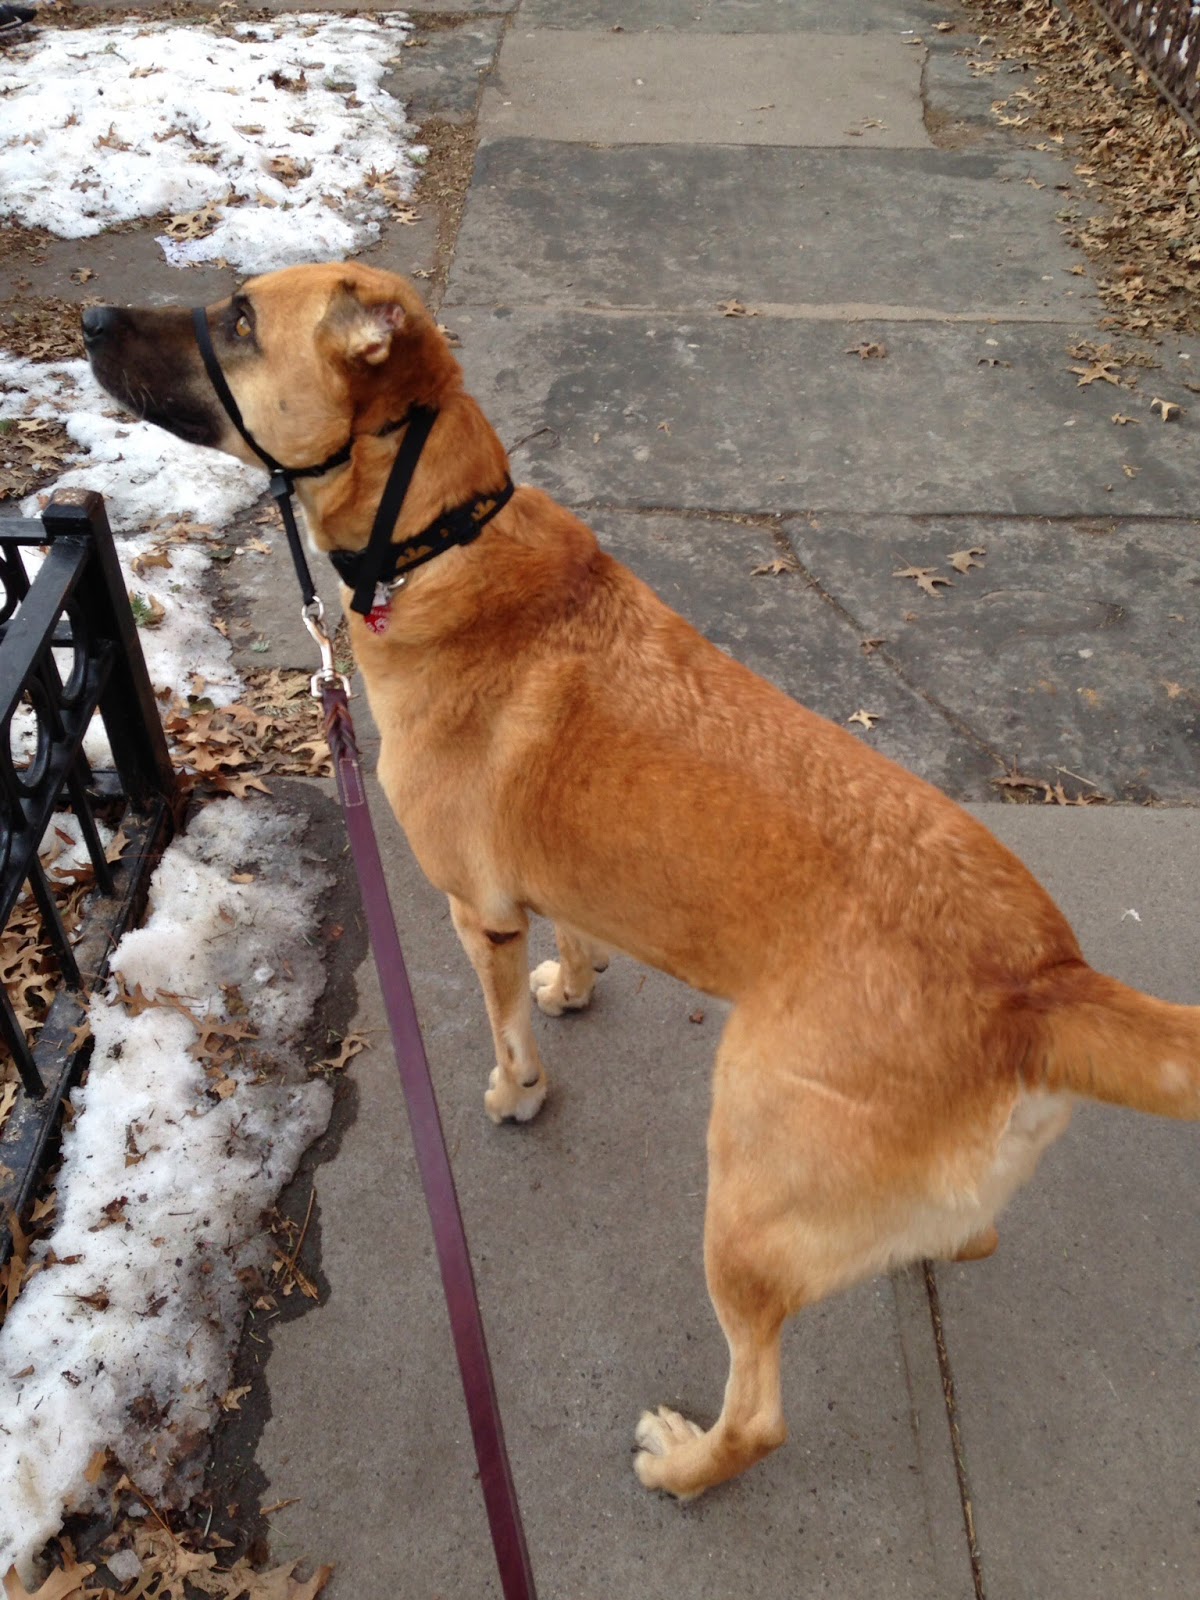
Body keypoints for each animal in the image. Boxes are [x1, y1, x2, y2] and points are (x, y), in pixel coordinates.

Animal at [86, 259, 1200, 1497]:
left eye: (238, 319)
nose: (87, 319)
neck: (442, 536)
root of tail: (1044, 982)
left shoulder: (478, 913)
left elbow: (509, 1033)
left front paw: (518, 1090)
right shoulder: (548, 879)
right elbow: (577, 935)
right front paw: (577, 985)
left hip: (744, 1198)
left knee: (760, 1412)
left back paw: (688, 1464)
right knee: (975, 1233)